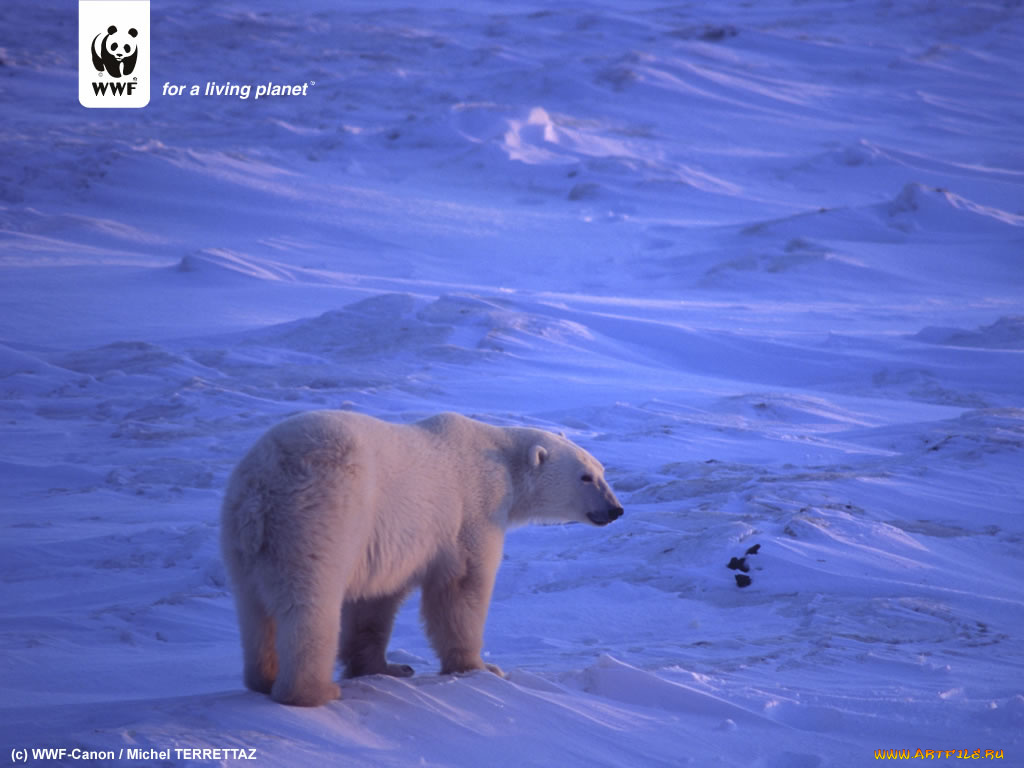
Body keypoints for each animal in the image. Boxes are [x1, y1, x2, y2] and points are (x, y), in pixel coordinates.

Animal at [219, 411, 618, 708]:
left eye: (602, 471)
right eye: (586, 477)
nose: (615, 509)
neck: (501, 459)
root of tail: (261, 490)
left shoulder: (386, 542)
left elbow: (374, 600)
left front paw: (388, 667)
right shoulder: (471, 509)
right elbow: (462, 587)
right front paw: (481, 667)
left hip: (243, 540)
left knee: (253, 608)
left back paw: (263, 678)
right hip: (319, 517)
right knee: (309, 604)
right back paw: (312, 691)